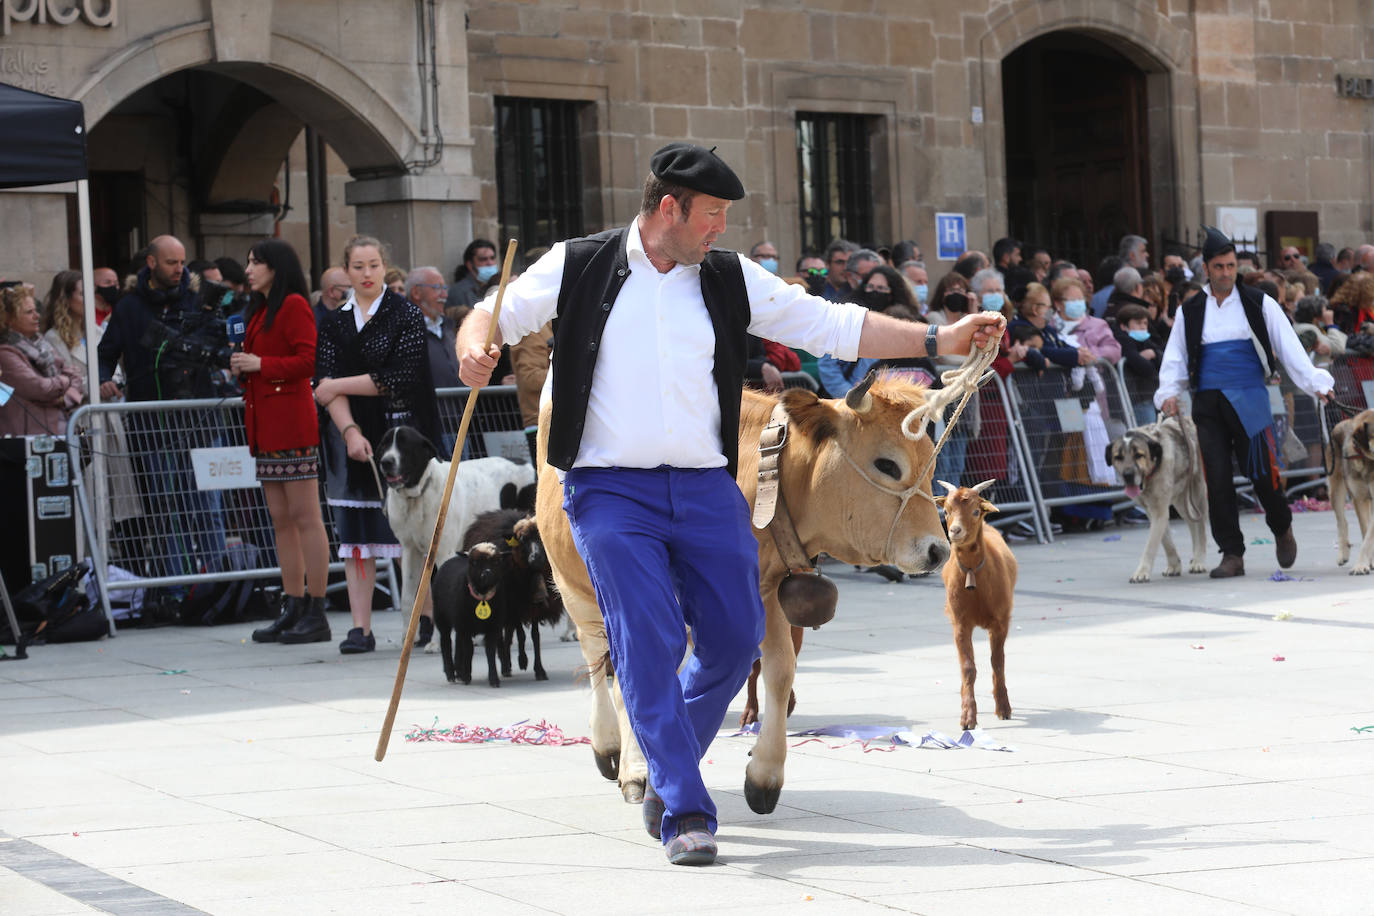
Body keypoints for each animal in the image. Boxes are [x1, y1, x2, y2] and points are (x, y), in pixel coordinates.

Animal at [376, 425, 535, 634]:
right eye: (385, 444)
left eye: (404, 445)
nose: (386, 462)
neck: (417, 496)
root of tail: (529, 465)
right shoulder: (410, 551)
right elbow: (407, 599)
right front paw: (407, 638)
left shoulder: (444, 552)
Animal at [431, 543, 508, 686]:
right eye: (474, 563)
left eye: (496, 562)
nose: (487, 574)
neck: (482, 598)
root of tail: (451, 559)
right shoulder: (465, 628)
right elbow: (469, 650)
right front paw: (467, 676)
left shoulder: (493, 627)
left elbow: (490, 651)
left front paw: (493, 679)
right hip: (441, 618)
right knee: (446, 642)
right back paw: (451, 673)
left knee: (457, 643)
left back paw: (458, 671)